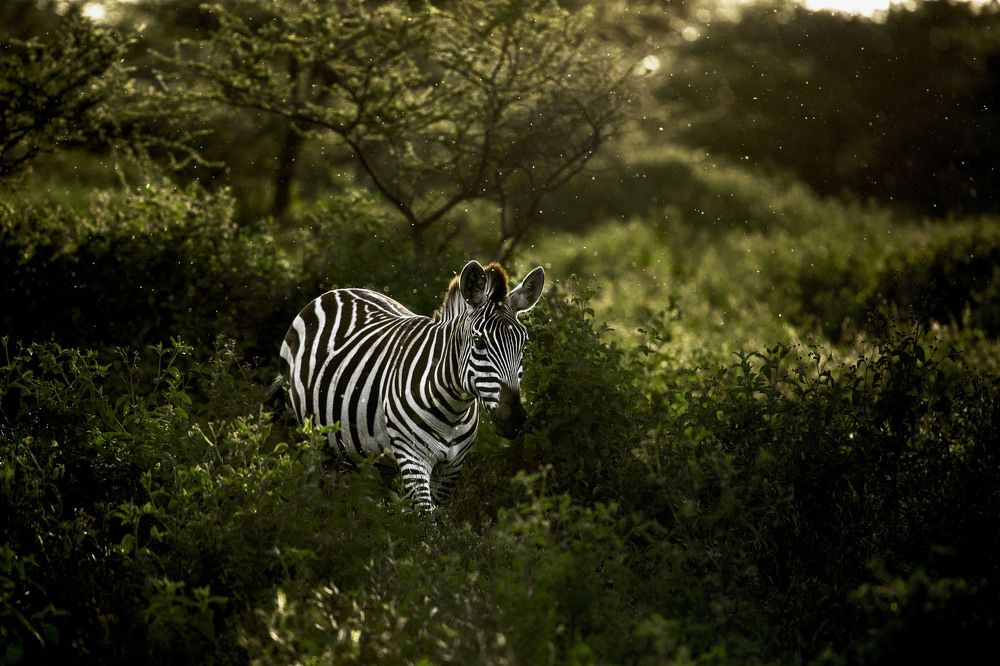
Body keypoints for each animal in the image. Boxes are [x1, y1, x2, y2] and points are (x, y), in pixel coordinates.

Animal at [277, 260, 545, 511]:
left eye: (524, 344)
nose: (513, 418)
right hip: (313, 439)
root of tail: (337, 291)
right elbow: (425, 521)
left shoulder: (452, 467)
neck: (453, 410)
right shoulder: (412, 458)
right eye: (479, 342)